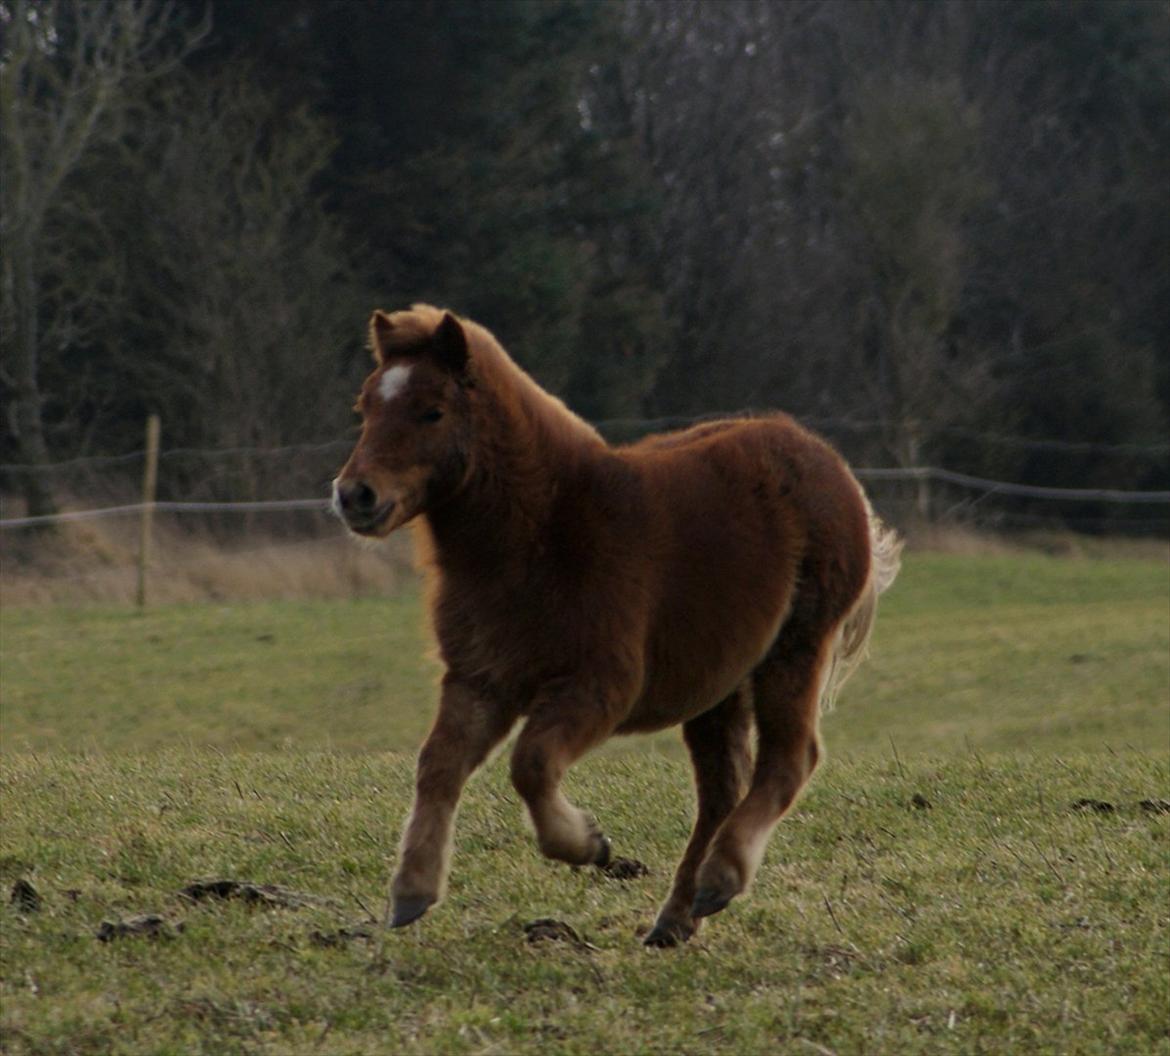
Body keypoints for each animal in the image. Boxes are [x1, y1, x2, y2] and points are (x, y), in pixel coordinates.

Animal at [334, 306, 898, 949]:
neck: (543, 533)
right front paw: (412, 891)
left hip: (795, 651)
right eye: (366, 407)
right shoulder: (481, 680)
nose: (354, 495)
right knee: (722, 789)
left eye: (432, 411)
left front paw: (589, 845)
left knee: (788, 760)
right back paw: (678, 916)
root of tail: (830, 463)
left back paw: (721, 878)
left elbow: (530, 763)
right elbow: (437, 765)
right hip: (721, 683)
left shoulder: (600, 685)